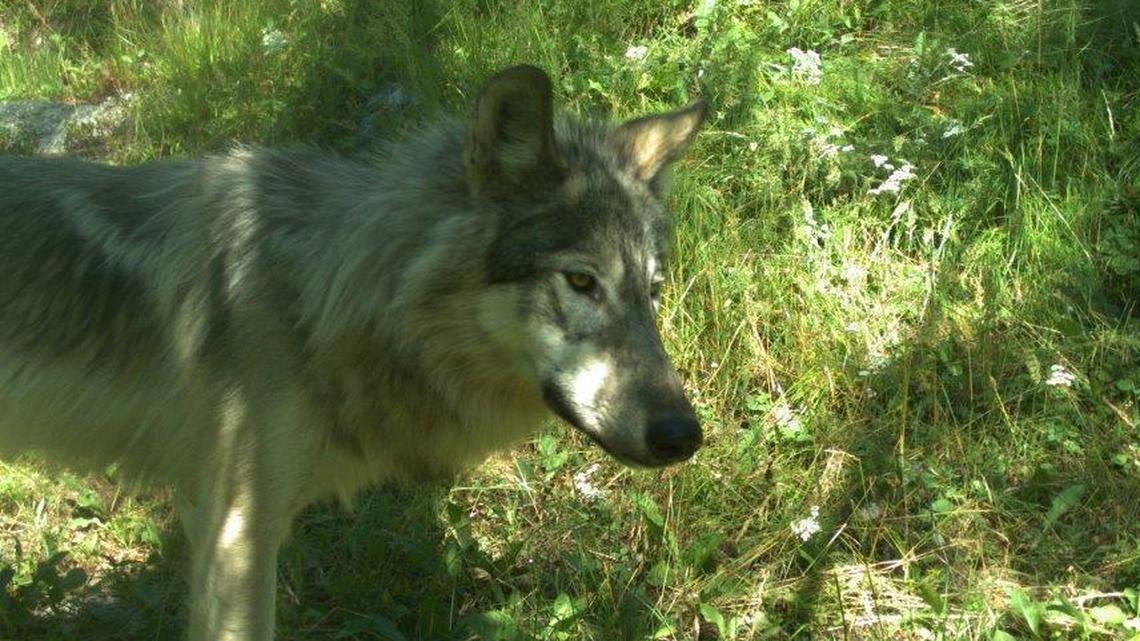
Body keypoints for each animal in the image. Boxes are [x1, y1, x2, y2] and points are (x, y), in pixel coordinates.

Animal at [0, 65, 705, 641]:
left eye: (651, 291)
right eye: (581, 281)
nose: (684, 436)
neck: (324, 294)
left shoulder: (214, 520)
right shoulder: (236, 531)